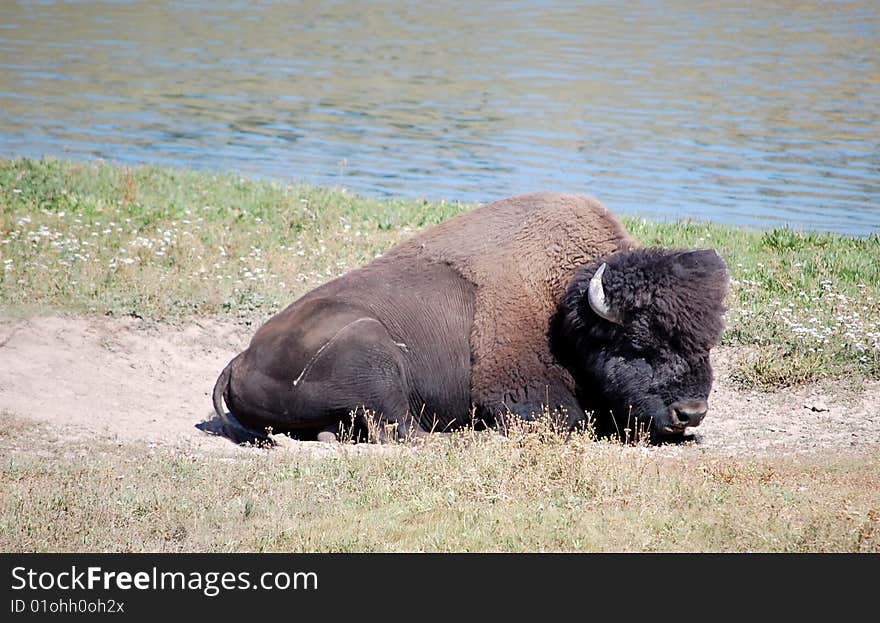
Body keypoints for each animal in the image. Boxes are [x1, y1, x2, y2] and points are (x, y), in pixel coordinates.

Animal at [213, 194, 728, 444]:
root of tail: (239, 360)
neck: (564, 308)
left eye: (707, 345)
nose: (690, 413)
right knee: (401, 431)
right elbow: (572, 421)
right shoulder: (520, 396)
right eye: (639, 345)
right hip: (372, 350)